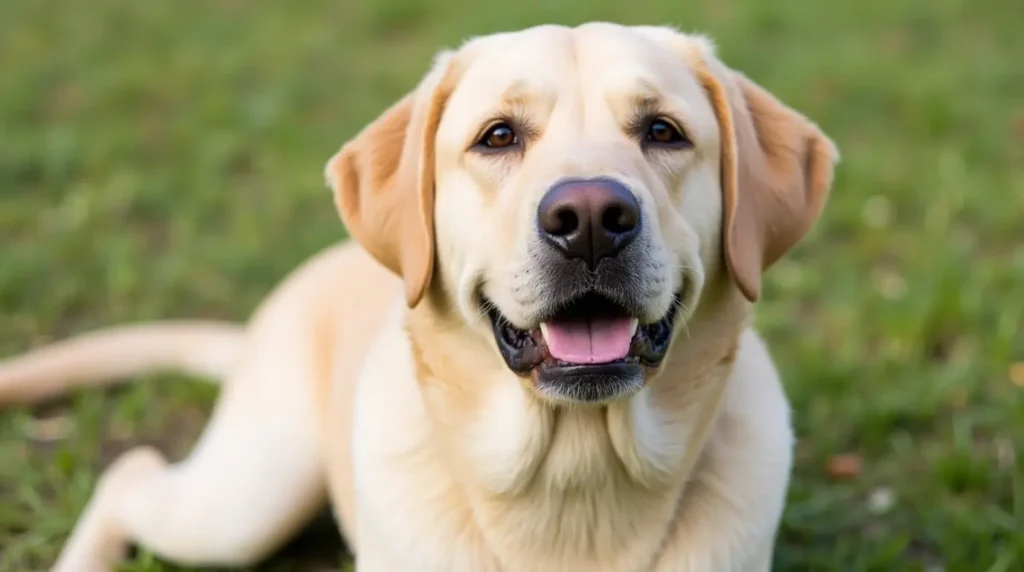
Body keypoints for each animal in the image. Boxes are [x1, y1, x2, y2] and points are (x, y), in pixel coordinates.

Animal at [0, 22, 835, 572]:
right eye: (498, 136)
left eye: (662, 130)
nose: (592, 219)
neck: (574, 488)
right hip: (248, 498)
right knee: (129, 474)